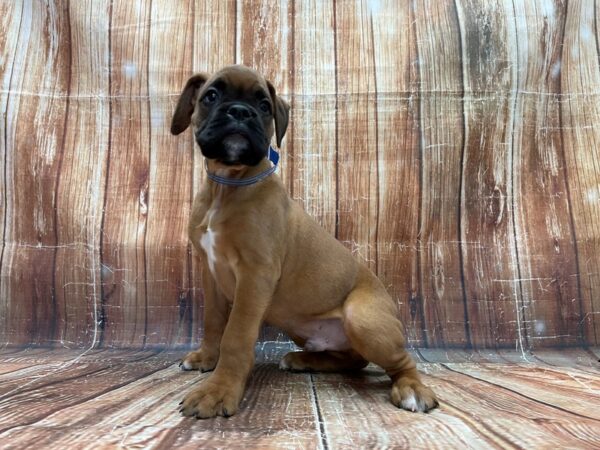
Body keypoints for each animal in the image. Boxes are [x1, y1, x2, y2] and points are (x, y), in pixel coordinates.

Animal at [171, 64, 438, 418]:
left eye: (264, 106)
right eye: (211, 96)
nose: (240, 112)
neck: (227, 185)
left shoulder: (255, 276)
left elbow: (236, 336)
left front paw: (219, 389)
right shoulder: (211, 273)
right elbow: (214, 322)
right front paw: (206, 358)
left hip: (364, 319)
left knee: (401, 362)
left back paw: (412, 389)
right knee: (352, 360)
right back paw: (303, 360)